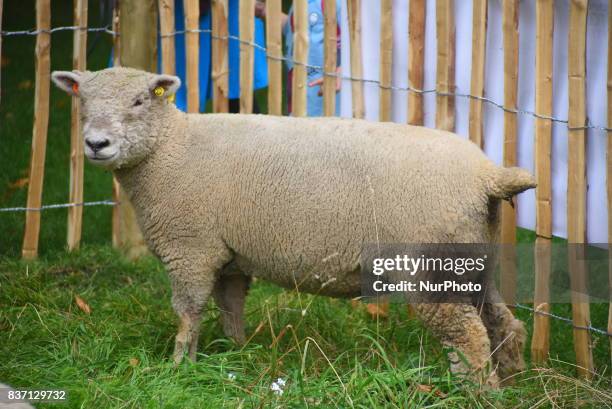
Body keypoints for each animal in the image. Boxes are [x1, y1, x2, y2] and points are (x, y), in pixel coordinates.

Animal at [52, 67, 536, 386]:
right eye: (82, 101)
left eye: (139, 101)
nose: (96, 144)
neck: (170, 148)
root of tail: (487, 175)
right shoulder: (227, 253)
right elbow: (230, 306)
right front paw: (236, 352)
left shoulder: (190, 248)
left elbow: (188, 312)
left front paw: (177, 368)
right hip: (473, 260)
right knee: (504, 324)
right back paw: (512, 382)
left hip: (431, 268)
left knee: (468, 336)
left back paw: (473, 393)